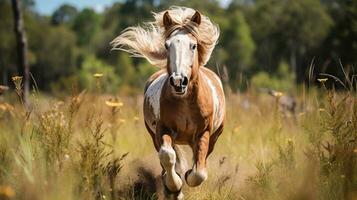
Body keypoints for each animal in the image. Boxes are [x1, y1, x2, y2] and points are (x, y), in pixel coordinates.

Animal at [110, 6, 224, 198]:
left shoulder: (204, 133)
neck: (185, 101)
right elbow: (167, 156)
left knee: (201, 158)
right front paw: (175, 186)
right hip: (155, 135)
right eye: (167, 45)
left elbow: (198, 172)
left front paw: (187, 175)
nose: (178, 81)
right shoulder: (163, 129)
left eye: (193, 45)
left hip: (214, 136)